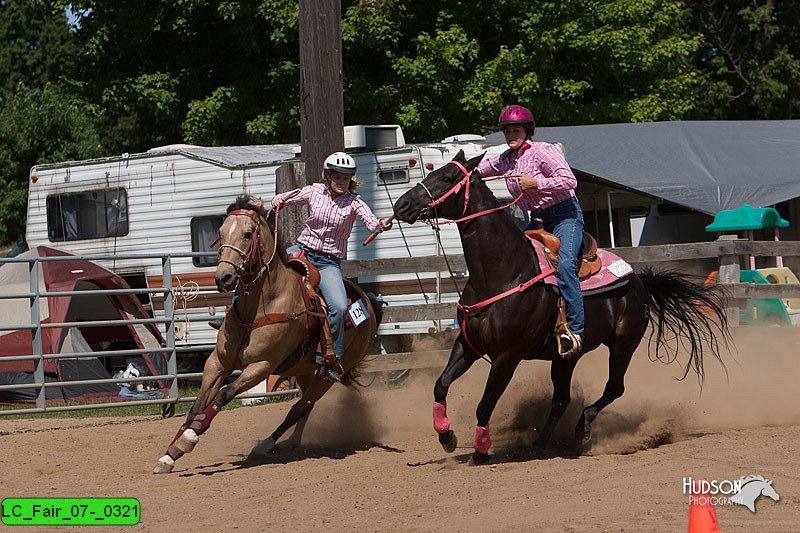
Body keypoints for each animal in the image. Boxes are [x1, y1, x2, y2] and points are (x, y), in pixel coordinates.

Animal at [156, 195, 384, 474]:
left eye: (247, 234)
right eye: (220, 233)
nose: (223, 277)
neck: (262, 305)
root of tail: (368, 302)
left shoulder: (261, 366)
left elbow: (224, 395)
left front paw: (189, 439)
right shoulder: (216, 363)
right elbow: (195, 407)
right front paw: (170, 454)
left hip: (327, 375)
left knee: (298, 408)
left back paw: (266, 445)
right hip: (305, 371)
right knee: (306, 406)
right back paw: (290, 443)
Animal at [390, 149, 728, 462]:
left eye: (447, 178)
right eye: (434, 173)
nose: (401, 205)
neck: (503, 271)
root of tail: (638, 280)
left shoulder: (507, 356)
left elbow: (485, 404)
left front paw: (481, 451)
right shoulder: (468, 344)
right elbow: (440, 384)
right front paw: (446, 436)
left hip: (623, 344)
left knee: (614, 388)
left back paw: (581, 429)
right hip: (565, 357)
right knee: (562, 399)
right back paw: (540, 444)